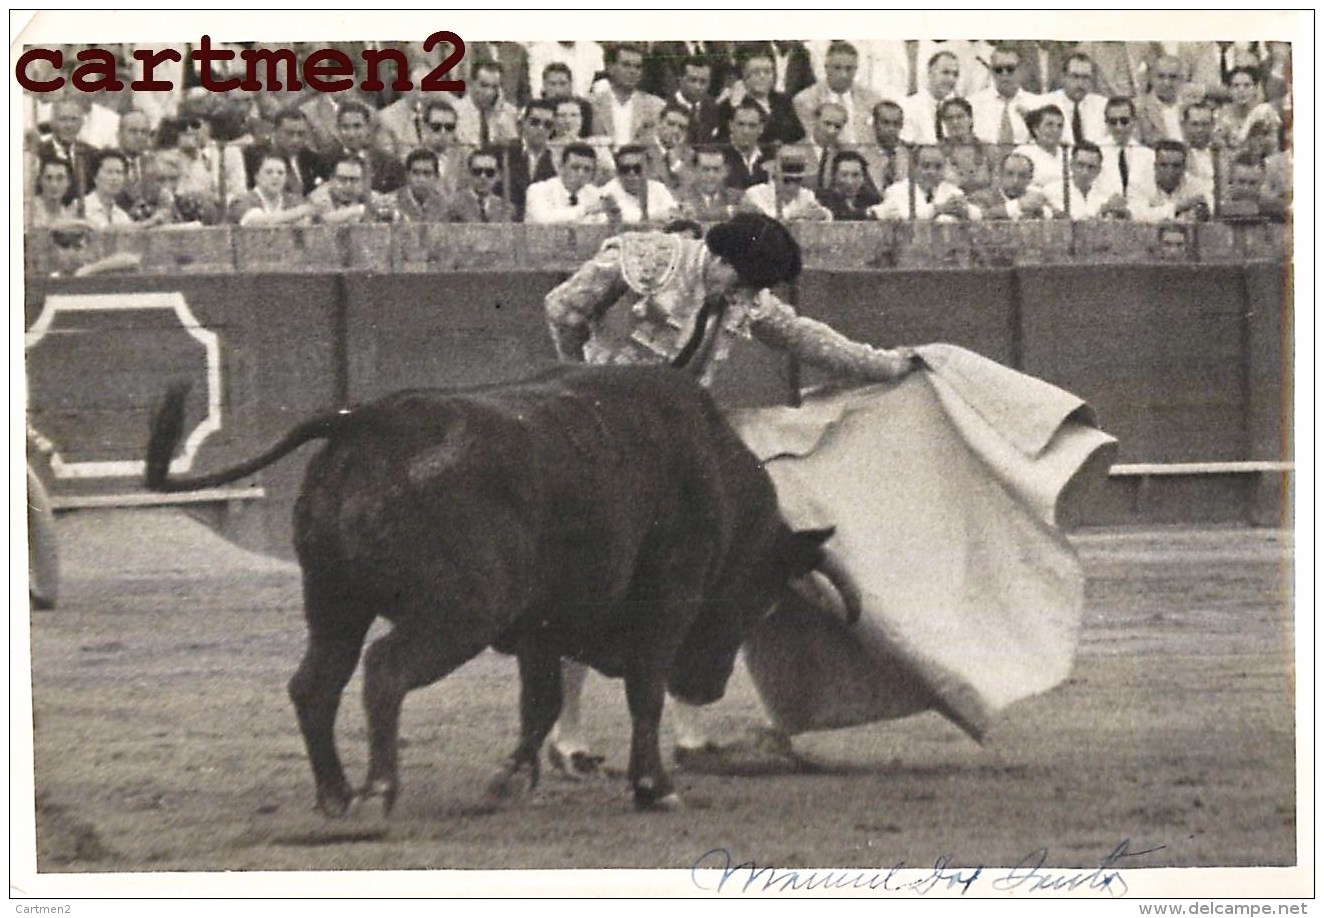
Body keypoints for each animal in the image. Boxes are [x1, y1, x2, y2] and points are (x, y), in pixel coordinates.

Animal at [144, 362, 863, 810]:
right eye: (758, 602)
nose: (709, 687)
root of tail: (365, 421)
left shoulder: (541, 626)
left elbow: (540, 702)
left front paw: (511, 780)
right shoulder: (665, 604)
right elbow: (643, 694)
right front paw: (654, 788)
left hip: (332, 600)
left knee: (315, 683)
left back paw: (337, 795)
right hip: (459, 612)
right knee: (384, 670)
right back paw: (378, 791)